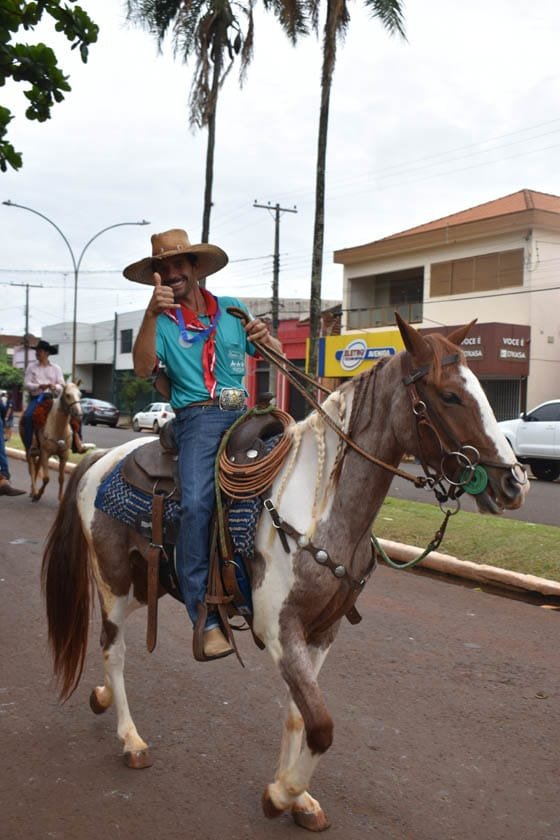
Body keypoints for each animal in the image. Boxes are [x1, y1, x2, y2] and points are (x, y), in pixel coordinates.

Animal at [41, 317, 528, 831]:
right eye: (449, 395)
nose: (514, 482)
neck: (316, 506)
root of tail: (102, 458)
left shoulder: (322, 632)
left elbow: (300, 715)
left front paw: (301, 800)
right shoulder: (279, 628)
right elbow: (322, 725)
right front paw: (280, 794)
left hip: (142, 580)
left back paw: (101, 697)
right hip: (113, 579)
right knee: (114, 649)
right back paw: (130, 738)